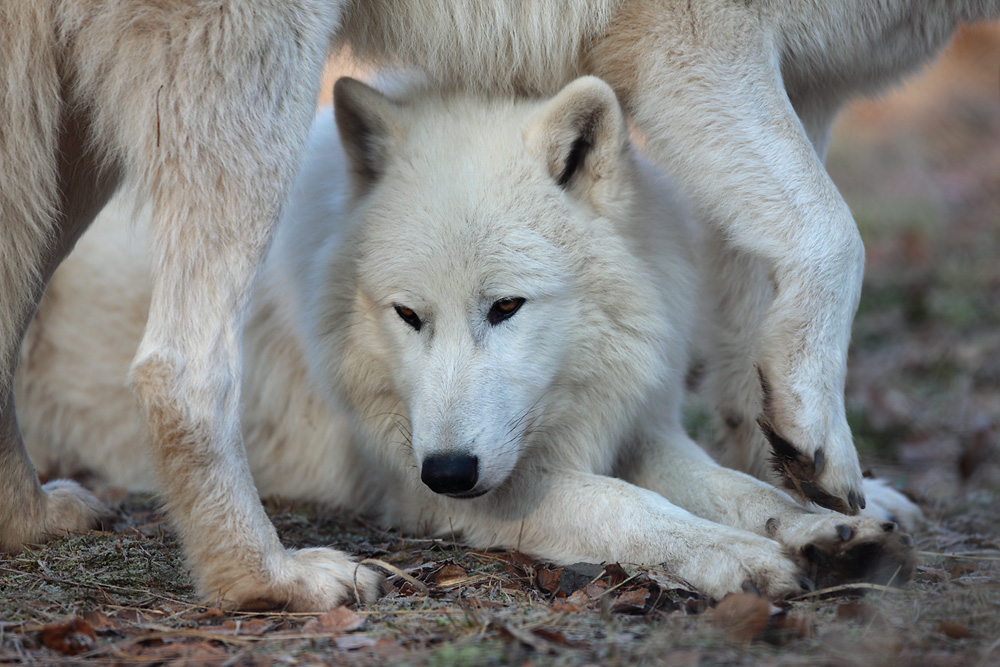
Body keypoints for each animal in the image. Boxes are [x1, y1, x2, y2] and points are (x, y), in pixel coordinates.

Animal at [3, 2, 996, 612]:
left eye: (508, 307)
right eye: (407, 316)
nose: (446, 468)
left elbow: (735, 464)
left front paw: (824, 513)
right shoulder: (698, 39)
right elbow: (631, 506)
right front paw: (748, 551)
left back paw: (32, 519)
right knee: (177, 368)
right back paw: (272, 578)